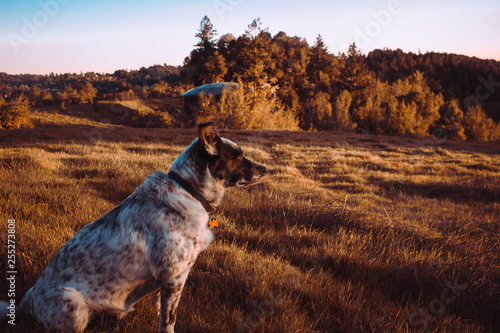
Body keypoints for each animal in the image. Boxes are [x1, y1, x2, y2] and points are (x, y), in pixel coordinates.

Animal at [0, 121, 266, 330]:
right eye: (238, 155)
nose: (265, 169)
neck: (188, 190)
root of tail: (24, 302)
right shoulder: (175, 276)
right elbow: (168, 321)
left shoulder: (166, 282)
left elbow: (160, 311)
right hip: (73, 307)